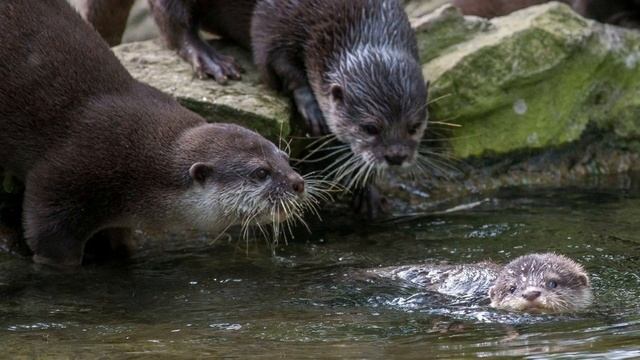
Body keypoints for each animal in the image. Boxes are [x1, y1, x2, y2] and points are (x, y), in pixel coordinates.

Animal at [0, 0, 312, 268]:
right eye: (260, 172)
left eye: (284, 157)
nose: (297, 183)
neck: (136, 163)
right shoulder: (62, 178)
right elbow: (48, 236)